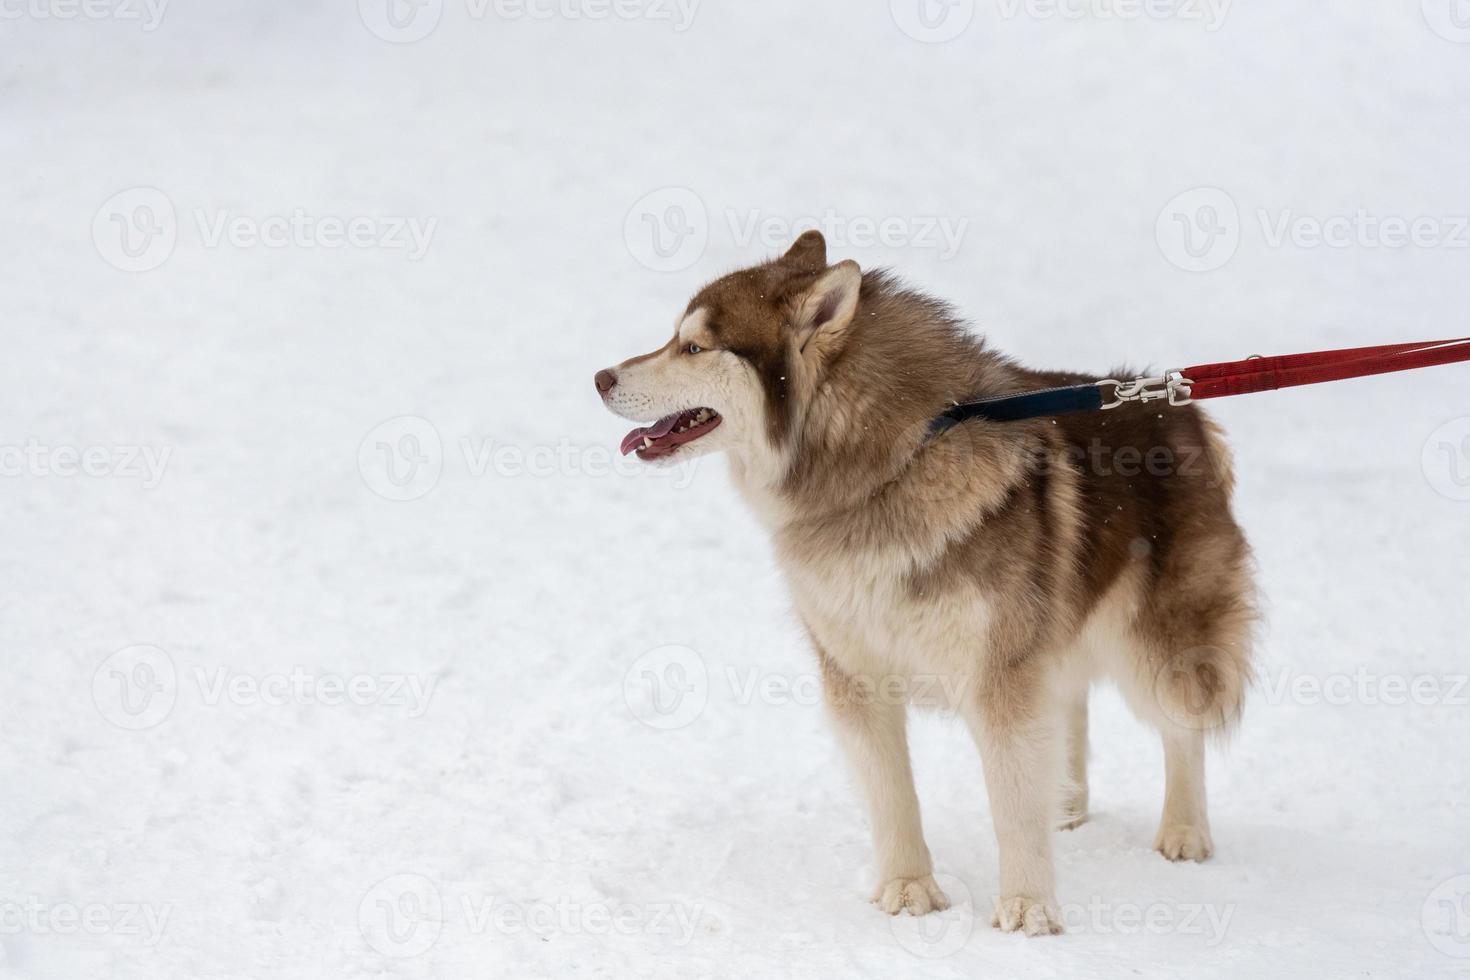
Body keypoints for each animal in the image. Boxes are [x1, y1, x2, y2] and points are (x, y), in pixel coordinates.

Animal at [593, 230, 1252, 934]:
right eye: (675, 338)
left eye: (694, 347)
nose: (600, 378)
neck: (886, 471)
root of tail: (1174, 403)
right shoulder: (856, 673)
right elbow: (892, 795)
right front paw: (908, 889)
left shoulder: (997, 674)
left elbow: (1012, 804)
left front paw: (1027, 907)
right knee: (1071, 703)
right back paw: (1067, 805)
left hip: (1157, 639)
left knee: (1181, 727)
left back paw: (1183, 831)